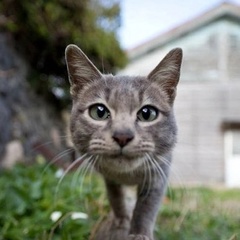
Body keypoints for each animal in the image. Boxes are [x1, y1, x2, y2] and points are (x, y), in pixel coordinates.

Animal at [65, 44, 182, 239]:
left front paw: (139, 233)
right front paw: (121, 221)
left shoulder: (159, 173)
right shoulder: (108, 178)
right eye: (99, 112)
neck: (127, 175)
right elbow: (116, 198)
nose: (122, 136)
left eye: (147, 113)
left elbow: (147, 206)